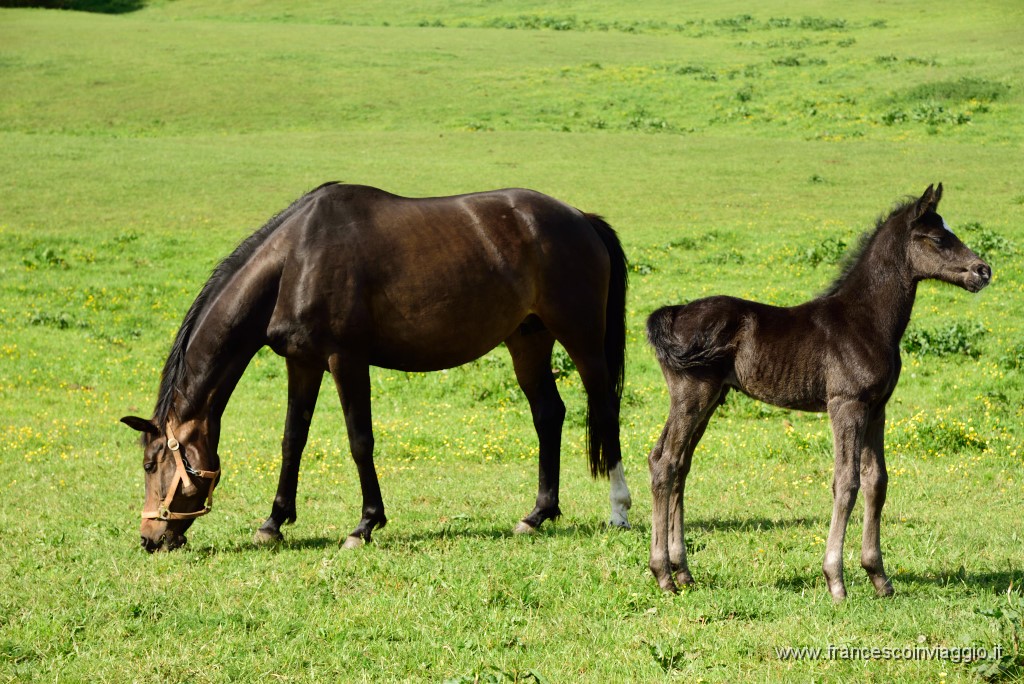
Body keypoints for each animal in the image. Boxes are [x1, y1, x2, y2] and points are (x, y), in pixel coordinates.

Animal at [119, 184, 630, 552]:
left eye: (151, 464)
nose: (149, 539)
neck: (295, 260)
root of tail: (581, 218)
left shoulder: (346, 360)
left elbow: (359, 441)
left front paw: (365, 524)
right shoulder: (302, 362)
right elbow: (292, 441)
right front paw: (274, 522)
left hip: (581, 338)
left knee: (605, 411)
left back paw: (619, 510)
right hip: (528, 338)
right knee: (548, 414)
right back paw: (537, 514)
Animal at [647, 185, 991, 597]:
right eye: (938, 238)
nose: (983, 271)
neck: (866, 320)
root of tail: (674, 312)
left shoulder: (877, 408)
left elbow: (877, 481)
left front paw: (879, 577)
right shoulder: (846, 404)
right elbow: (847, 482)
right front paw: (835, 580)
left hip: (711, 399)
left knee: (681, 465)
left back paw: (684, 572)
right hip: (692, 395)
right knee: (665, 462)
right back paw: (663, 575)